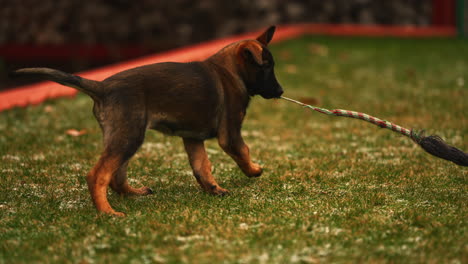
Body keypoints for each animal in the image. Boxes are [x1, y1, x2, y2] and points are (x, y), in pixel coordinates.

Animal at [14, 25, 284, 216]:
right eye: (267, 66)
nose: (281, 91)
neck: (229, 71)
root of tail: (102, 86)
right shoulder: (230, 131)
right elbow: (243, 150)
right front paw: (255, 170)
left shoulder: (192, 138)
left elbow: (202, 166)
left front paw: (213, 189)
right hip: (129, 135)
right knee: (98, 175)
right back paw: (107, 212)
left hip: (122, 135)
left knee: (116, 176)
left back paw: (134, 193)